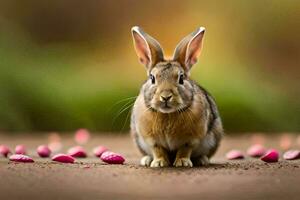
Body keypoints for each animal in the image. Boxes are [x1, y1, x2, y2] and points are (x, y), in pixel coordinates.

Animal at [129, 26, 223, 167]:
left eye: (181, 78)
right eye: (152, 78)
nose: (166, 97)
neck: (168, 114)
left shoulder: (190, 139)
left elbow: (185, 149)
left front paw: (183, 163)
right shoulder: (151, 140)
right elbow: (158, 150)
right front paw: (159, 163)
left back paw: (202, 160)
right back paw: (147, 160)